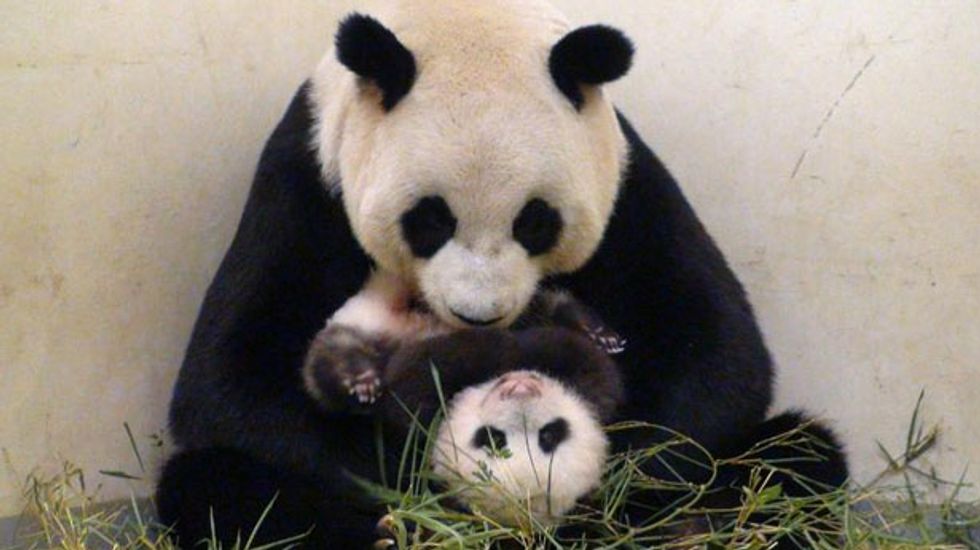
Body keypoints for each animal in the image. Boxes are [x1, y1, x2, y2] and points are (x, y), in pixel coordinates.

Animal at [156, 1, 848, 548]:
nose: (477, 318)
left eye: (535, 222)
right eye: (428, 220)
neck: (466, 18)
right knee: (217, 487)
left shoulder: (627, 180)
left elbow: (717, 358)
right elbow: (232, 387)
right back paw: (384, 531)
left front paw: (603, 466)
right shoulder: (306, 178)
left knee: (794, 457)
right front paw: (426, 471)